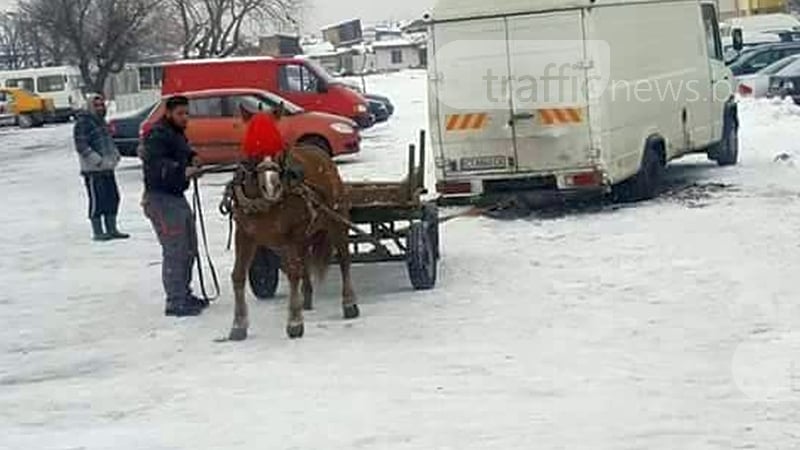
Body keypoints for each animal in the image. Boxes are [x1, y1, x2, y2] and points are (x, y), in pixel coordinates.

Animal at [227, 145, 360, 342]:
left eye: (279, 154)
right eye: (255, 152)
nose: (272, 186)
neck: (264, 203)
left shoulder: (292, 235)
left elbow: (293, 274)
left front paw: (295, 323)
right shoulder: (244, 235)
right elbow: (238, 275)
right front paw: (238, 325)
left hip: (336, 223)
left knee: (344, 261)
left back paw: (349, 303)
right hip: (302, 239)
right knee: (304, 264)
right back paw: (307, 299)